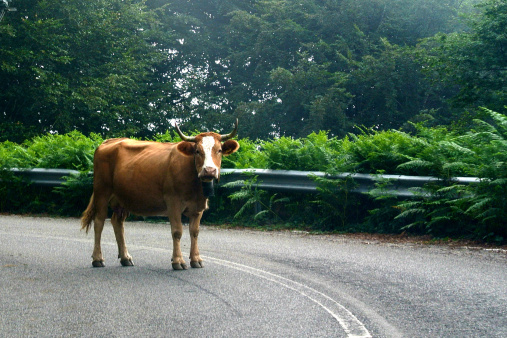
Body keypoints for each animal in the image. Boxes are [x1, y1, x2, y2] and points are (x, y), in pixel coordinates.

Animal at [81, 120, 240, 270]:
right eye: (197, 151)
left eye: (219, 150)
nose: (209, 171)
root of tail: (108, 142)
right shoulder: (173, 203)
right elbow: (177, 231)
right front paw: (178, 261)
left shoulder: (198, 207)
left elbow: (194, 232)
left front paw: (196, 259)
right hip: (102, 191)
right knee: (99, 222)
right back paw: (97, 259)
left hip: (123, 198)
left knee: (117, 223)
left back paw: (125, 257)